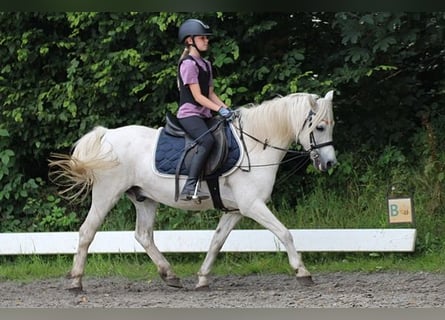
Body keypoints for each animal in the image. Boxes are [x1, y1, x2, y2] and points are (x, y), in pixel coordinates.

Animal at [48, 89, 334, 290]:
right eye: (319, 127)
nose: (330, 163)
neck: (255, 146)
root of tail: (106, 135)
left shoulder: (236, 210)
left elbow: (217, 241)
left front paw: (202, 278)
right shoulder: (252, 205)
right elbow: (285, 233)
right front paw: (303, 273)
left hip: (144, 198)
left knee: (143, 235)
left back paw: (170, 275)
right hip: (107, 193)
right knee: (87, 232)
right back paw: (76, 282)